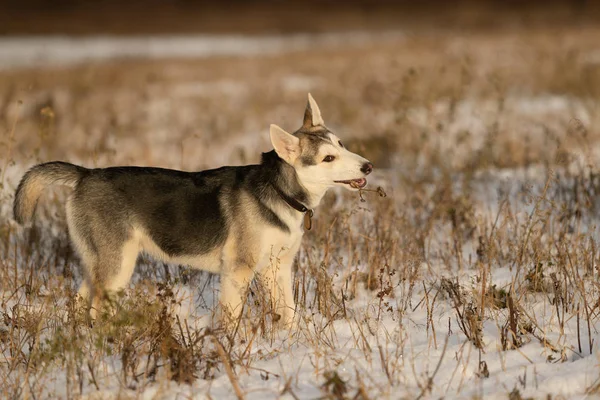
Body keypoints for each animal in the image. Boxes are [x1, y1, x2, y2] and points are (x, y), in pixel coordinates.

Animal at [12, 95, 370, 326]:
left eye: (340, 144)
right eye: (327, 158)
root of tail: (85, 174)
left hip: (98, 264)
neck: (280, 191)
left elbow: (290, 314)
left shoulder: (278, 268)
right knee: (98, 310)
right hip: (117, 266)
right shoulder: (238, 271)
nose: (368, 166)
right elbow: (232, 319)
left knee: (79, 301)